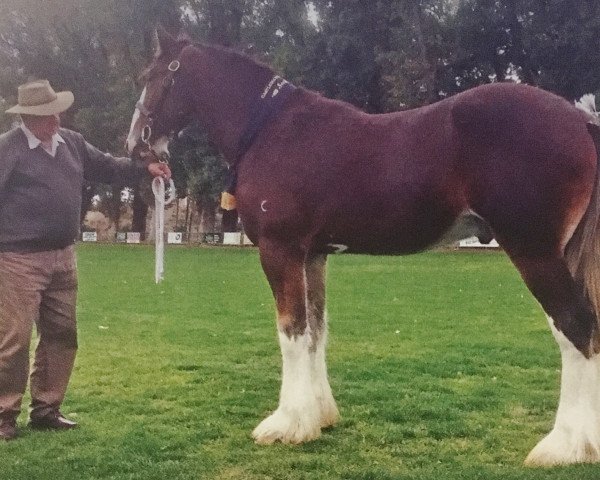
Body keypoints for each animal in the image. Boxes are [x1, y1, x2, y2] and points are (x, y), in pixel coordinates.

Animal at [125, 28, 600, 466]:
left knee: (575, 327)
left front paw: (285, 424)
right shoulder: (313, 255)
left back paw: (564, 446)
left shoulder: (280, 250)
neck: (269, 129)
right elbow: (315, 331)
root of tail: (579, 119)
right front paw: (317, 417)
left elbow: (291, 331)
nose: (134, 146)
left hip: (534, 252)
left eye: (149, 76)